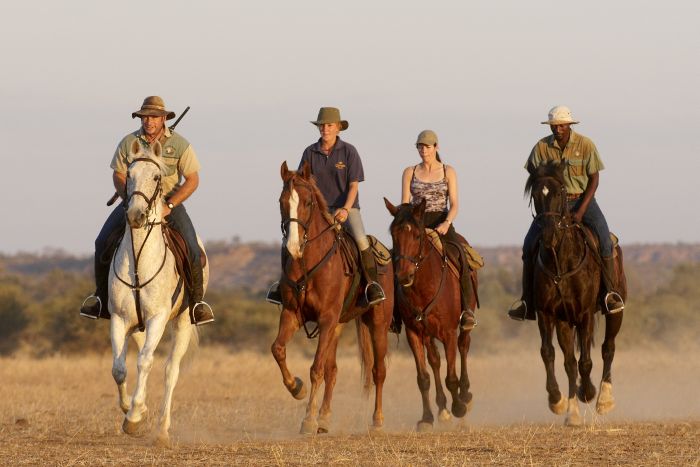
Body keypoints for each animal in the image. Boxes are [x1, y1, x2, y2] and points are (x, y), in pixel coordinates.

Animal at [108, 141, 208, 448]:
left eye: (155, 176)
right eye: (129, 175)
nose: (135, 216)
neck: (140, 261)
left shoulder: (158, 319)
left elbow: (145, 362)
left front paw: (134, 418)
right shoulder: (119, 318)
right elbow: (120, 368)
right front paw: (131, 410)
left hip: (182, 323)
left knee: (168, 370)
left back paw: (163, 430)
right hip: (137, 327)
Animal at [270, 163, 394, 436]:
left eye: (307, 202)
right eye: (281, 202)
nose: (293, 246)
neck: (307, 263)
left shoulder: (326, 319)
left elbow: (316, 368)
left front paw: (308, 420)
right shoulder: (293, 315)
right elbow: (278, 349)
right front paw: (296, 388)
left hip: (377, 324)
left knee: (378, 371)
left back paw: (377, 421)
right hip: (338, 325)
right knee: (333, 370)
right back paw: (325, 419)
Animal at [382, 197, 476, 432]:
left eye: (417, 235)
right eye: (393, 235)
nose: (403, 276)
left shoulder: (449, 332)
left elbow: (451, 376)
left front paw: (458, 407)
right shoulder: (414, 333)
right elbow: (423, 378)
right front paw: (427, 418)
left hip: (462, 326)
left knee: (463, 347)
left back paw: (465, 396)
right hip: (427, 333)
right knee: (434, 361)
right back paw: (442, 409)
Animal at [528, 162, 628, 428]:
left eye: (560, 192)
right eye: (535, 195)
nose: (548, 234)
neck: (561, 262)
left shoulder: (584, 314)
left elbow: (586, 361)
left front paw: (589, 392)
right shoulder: (548, 314)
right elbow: (552, 355)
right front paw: (558, 401)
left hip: (614, 312)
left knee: (607, 348)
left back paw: (603, 399)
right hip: (566, 321)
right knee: (571, 361)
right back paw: (574, 407)